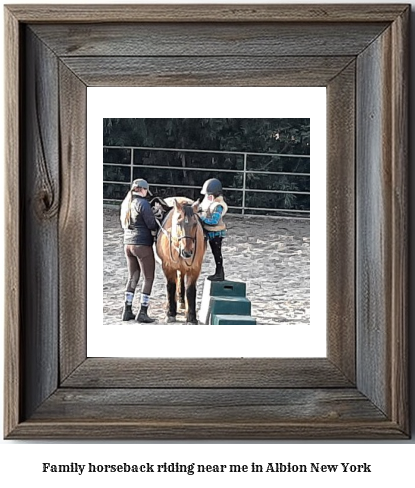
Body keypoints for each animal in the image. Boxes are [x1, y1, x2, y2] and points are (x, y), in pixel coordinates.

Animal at [155, 196, 207, 326]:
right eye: (178, 223)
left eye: (195, 224)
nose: (187, 252)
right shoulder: (168, 267)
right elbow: (171, 287)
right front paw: (170, 313)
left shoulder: (195, 268)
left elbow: (190, 290)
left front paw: (191, 316)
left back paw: (182, 302)